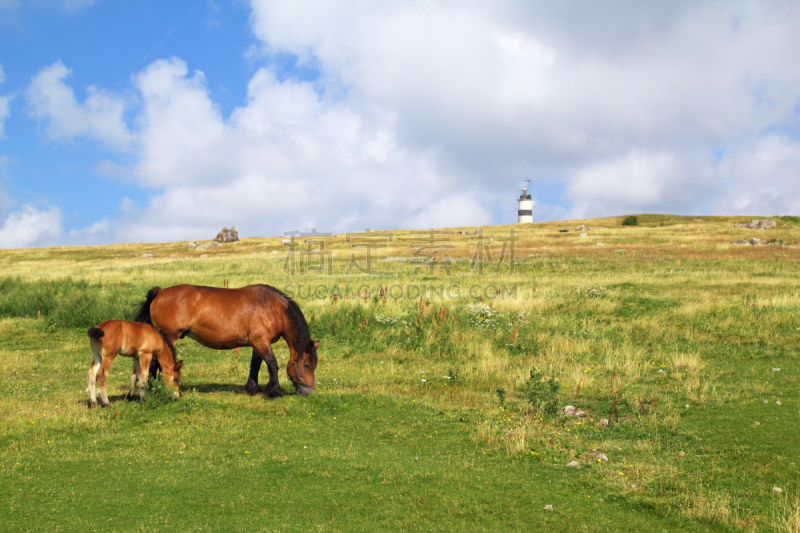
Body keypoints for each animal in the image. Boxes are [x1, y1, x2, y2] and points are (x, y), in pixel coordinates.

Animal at [133, 282, 318, 394]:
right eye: (307, 365)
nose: (309, 391)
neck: (273, 307)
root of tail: (160, 292)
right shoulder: (261, 342)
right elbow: (272, 363)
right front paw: (274, 391)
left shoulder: (257, 343)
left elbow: (255, 365)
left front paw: (253, 389)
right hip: (169, 337)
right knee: (155, 363)